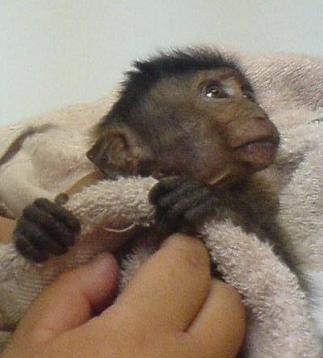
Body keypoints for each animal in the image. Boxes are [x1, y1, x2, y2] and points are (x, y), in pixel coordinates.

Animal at [13, 49, 280, 262]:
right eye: (214, 92)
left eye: (248, 96)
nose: (260, 113)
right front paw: (38, 225)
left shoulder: (259, 196)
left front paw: (209, 198)